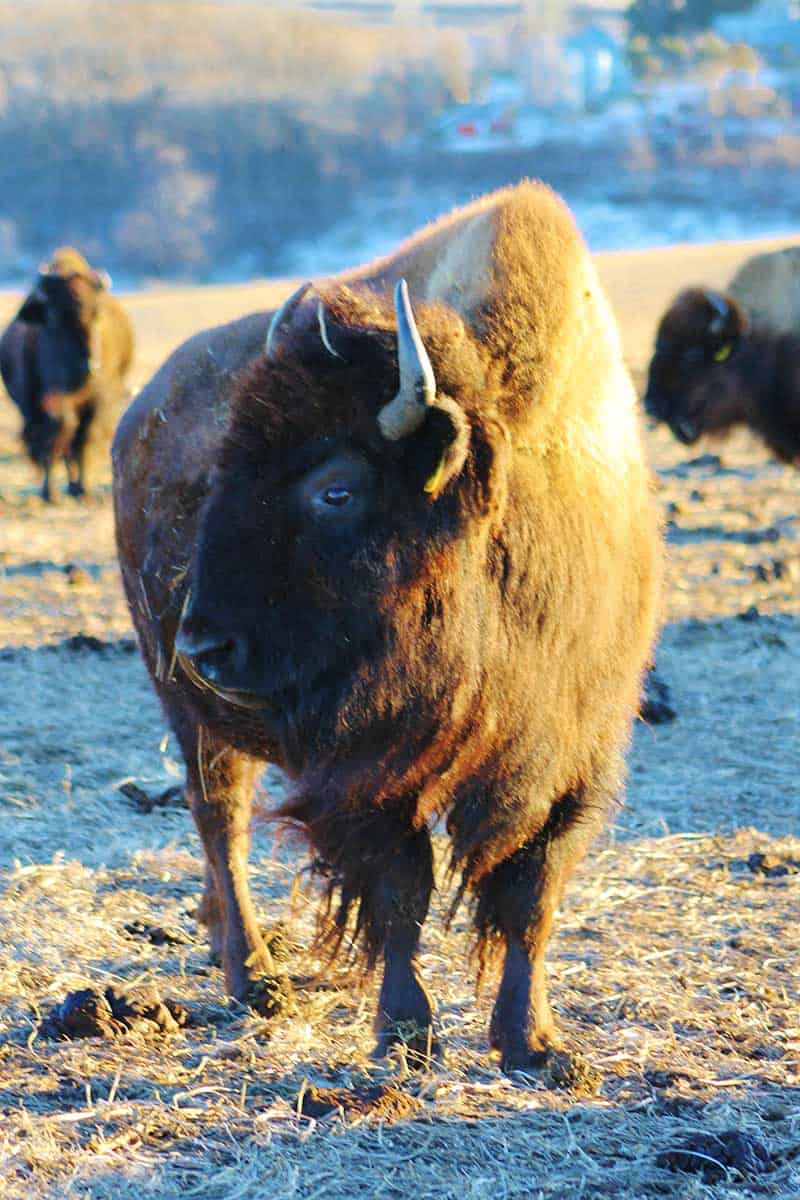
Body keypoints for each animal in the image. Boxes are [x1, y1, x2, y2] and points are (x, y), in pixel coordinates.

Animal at [0, 248, 134, 500]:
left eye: (97, 314)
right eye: (54, 319)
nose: (88, 367)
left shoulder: (98, 400)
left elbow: (84, 439)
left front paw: (84, 489)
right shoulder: (41, 403)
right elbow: (54, 435)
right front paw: (50, 493)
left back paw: (75, 487)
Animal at [113, 183, 661, 1072]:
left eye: (336, 489)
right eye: (223, 471)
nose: (204, 648)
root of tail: (138, 415)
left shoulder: (573, 756)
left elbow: (530, 894)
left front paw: (534, 1042)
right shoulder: (369, 773)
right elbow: (403, 889)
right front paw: (404, 1030)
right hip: (193, 718)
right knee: (220, 819)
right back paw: (254, 977)